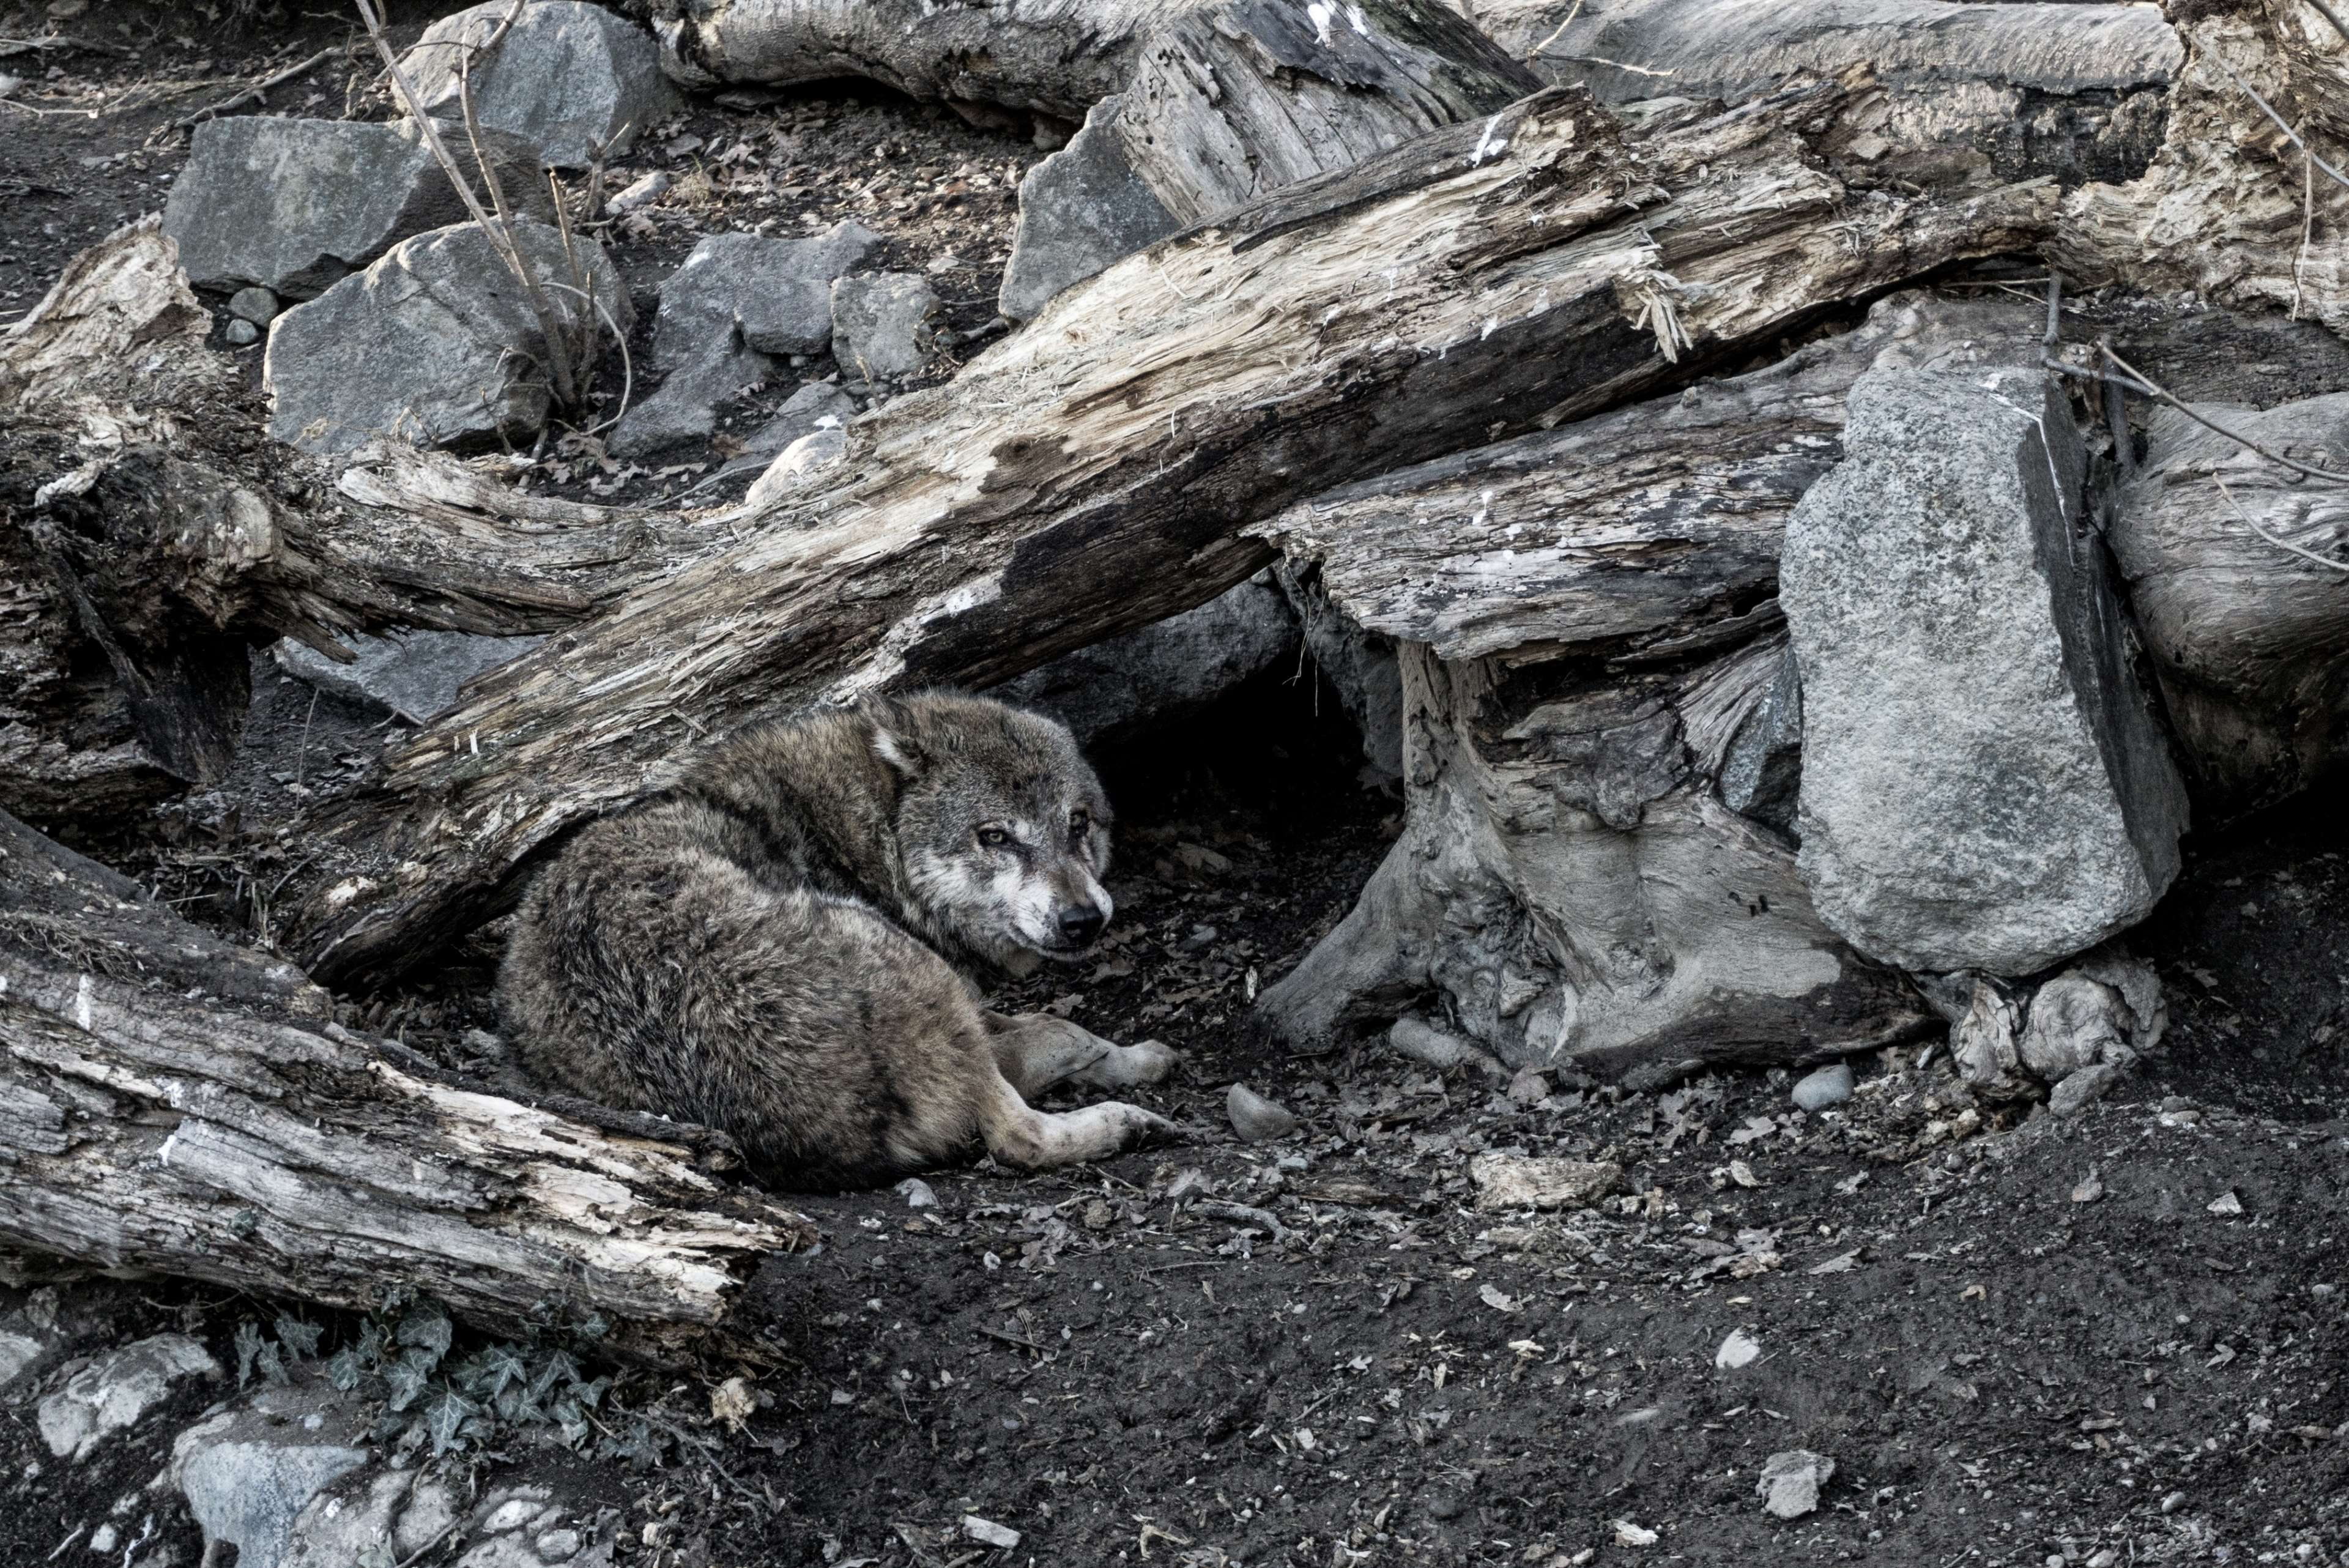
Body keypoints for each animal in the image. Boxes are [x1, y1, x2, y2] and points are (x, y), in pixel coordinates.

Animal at [497, 691, 1179, 1189]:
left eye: (1079, 823)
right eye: (995, 836)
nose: (1083, 919)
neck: (859, 840)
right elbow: (1063, 1032)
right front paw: (1134, 1062)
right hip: (902, 958)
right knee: (1019, 1139)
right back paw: (1132, 1125)